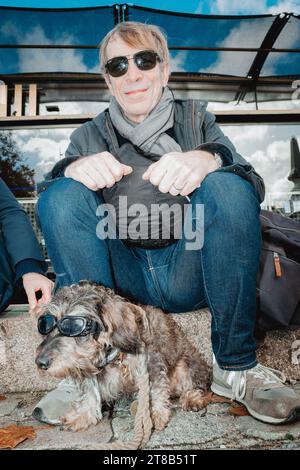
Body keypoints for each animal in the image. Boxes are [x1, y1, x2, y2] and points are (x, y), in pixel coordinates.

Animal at [35, 280, 211, 432]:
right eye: (46, 324)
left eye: (73, 326)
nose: (40, 363)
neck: (113, 356)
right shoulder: (88, 366)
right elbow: (90, 393)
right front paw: (83, 415)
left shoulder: (151, 364)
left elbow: (155, 390)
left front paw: (153, 415)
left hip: (186, 366)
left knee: (198, 386)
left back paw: (192, 398)